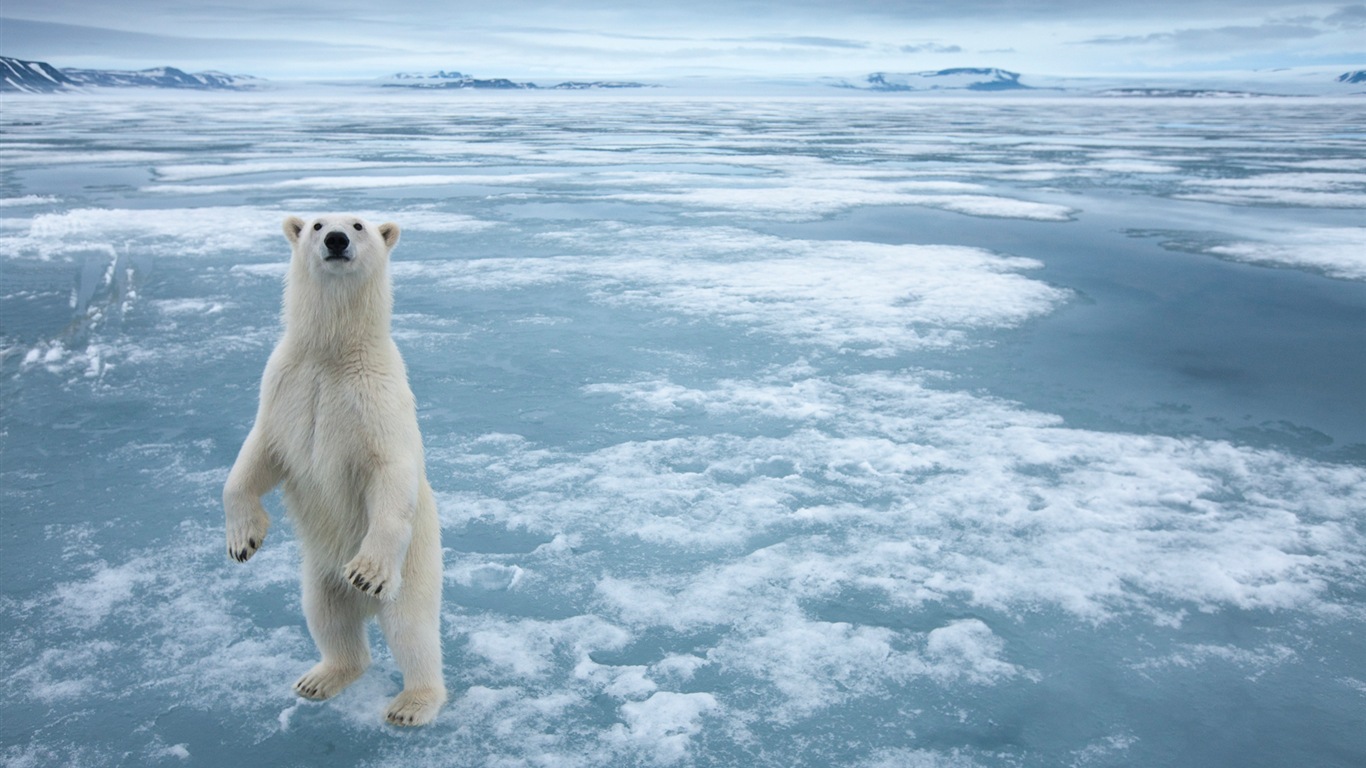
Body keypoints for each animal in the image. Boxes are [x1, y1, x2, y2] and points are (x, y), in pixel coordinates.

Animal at [224, 210, 445, 721]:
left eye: (359, 225)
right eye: (317, 224)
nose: (337, 240)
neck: (332, 353)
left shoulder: (376, 398)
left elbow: (390, 471)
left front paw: (366, 571)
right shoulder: (285, 386)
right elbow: (257, 456)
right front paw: (243, 540)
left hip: (416, 566)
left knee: (412, 629)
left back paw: (412, 703)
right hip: (319, 573)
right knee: (326, 617)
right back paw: (321, 677)